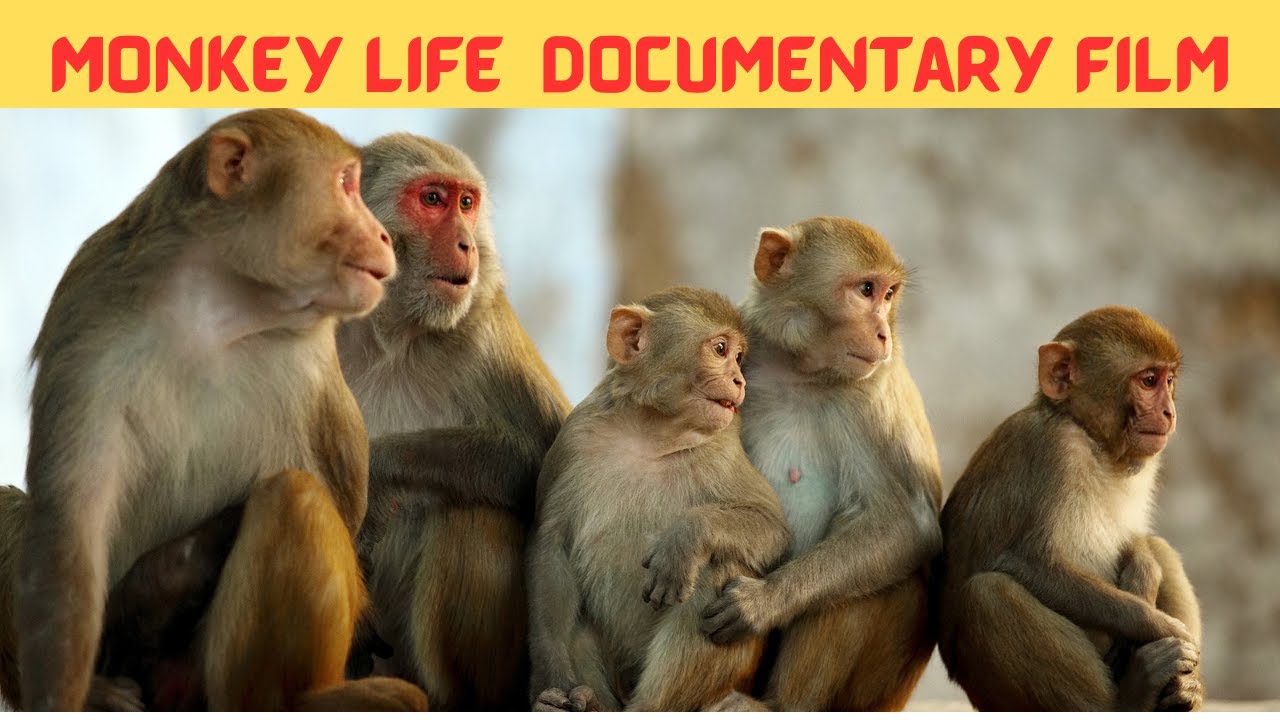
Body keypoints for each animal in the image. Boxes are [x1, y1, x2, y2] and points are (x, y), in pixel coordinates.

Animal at [12, 108, 426, 711]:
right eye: (346, 183)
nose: (383, 234)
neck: (219, 307)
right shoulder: (87, 318)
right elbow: (70, 532)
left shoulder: (313, 357)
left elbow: (341, 504)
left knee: (292, 496)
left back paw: (295, 702)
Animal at [335, 133, 571, 710]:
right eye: (433, 199)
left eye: (466, 203)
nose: (467, 245)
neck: (389, 334)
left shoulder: (484, 328)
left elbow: (549, 462)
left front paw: (377, 473)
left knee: (471, 513)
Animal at [527, 286, 791, 711]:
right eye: (720, 349)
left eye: (738, 358)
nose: (738, 380)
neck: (651, 434)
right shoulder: (574, 438)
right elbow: (551, 547)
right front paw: (551, 682)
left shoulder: (723, 448)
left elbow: (772, 528)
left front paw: (686, 539)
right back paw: (585, 702)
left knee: (717, 568)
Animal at [697, 217, 943, 711]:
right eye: (866, 289)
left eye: (889, 294)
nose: (884, 333)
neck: (799, 371)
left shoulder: (870, 395)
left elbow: (908, 524)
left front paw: (763, 602)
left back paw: (777, 705)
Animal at [937, 306, 1203, 712]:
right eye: (1148, 380)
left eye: (1168, 380)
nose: (1169, 412)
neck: (1092, 439)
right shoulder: (1056, 450)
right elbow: (1029, 562)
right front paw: (1156, 623)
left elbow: (1140, 543)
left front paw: (1143, 571)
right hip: (994, 694)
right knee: (989, 595)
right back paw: (1134, 695)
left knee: (1163, 550)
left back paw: (1181, 692)